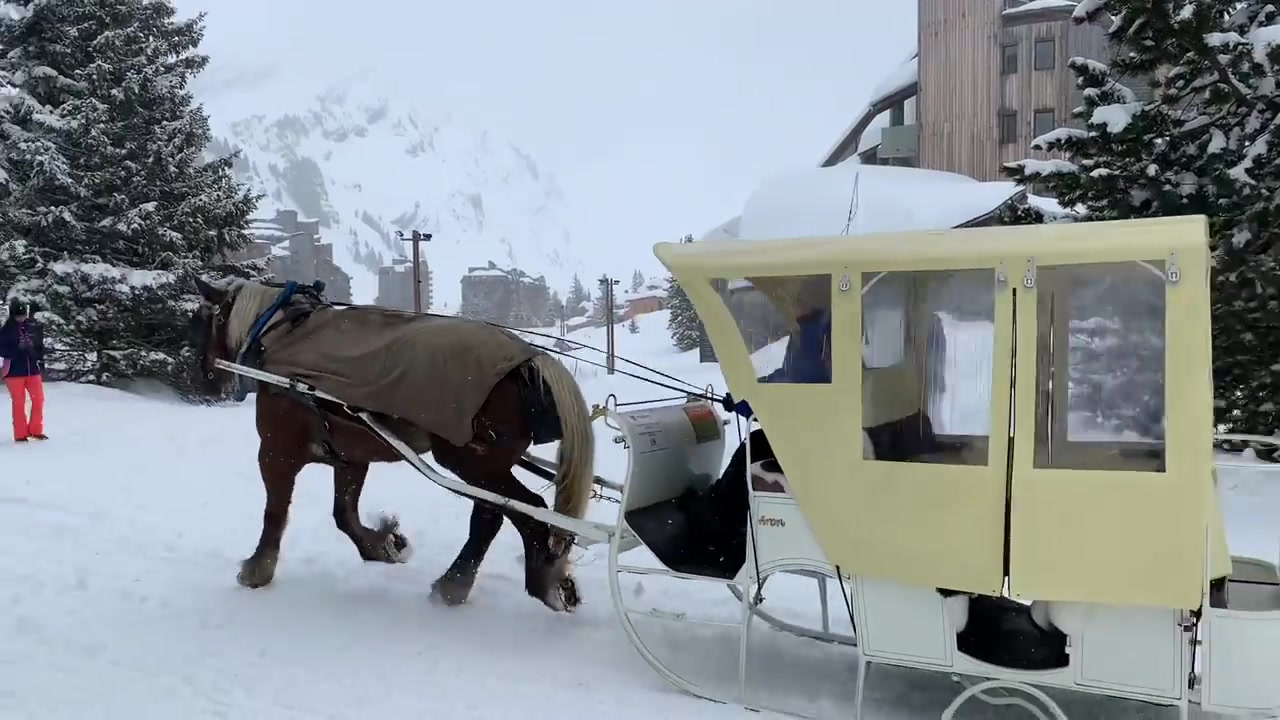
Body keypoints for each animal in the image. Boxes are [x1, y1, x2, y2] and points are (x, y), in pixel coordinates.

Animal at [186, 274, 596, 609]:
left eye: (206, 319)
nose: (204, 375)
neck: (281, 337)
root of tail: (530, 361)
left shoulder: (275, 453)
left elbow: (275, 513)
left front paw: (257, 569)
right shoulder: (349, 458)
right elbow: (344, 515)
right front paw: (385, 545)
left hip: (470, 462)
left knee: (524, 510)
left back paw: (538, 582)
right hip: (486, 465)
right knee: (492, 514)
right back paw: (457, 584)